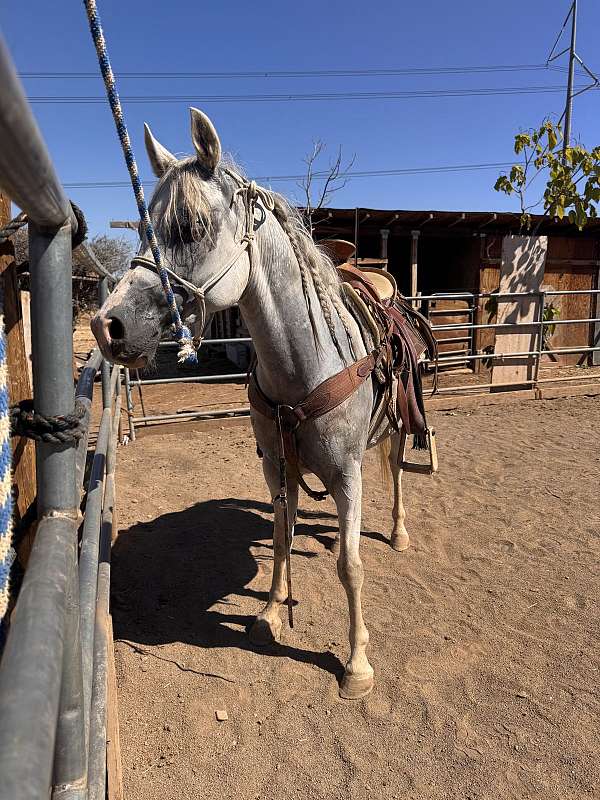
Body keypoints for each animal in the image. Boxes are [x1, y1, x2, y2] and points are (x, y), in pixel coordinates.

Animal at [92, 107, 414, 700]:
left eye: (192, 226)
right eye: (145, 228)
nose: (108, 326)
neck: (306, 363)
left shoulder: (347, 471)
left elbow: (350, 564)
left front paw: (356, 664)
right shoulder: (275, 464)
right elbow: (282, 537)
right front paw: (269, 614)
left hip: (400, 430)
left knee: (399, 474)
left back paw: (400, 532)